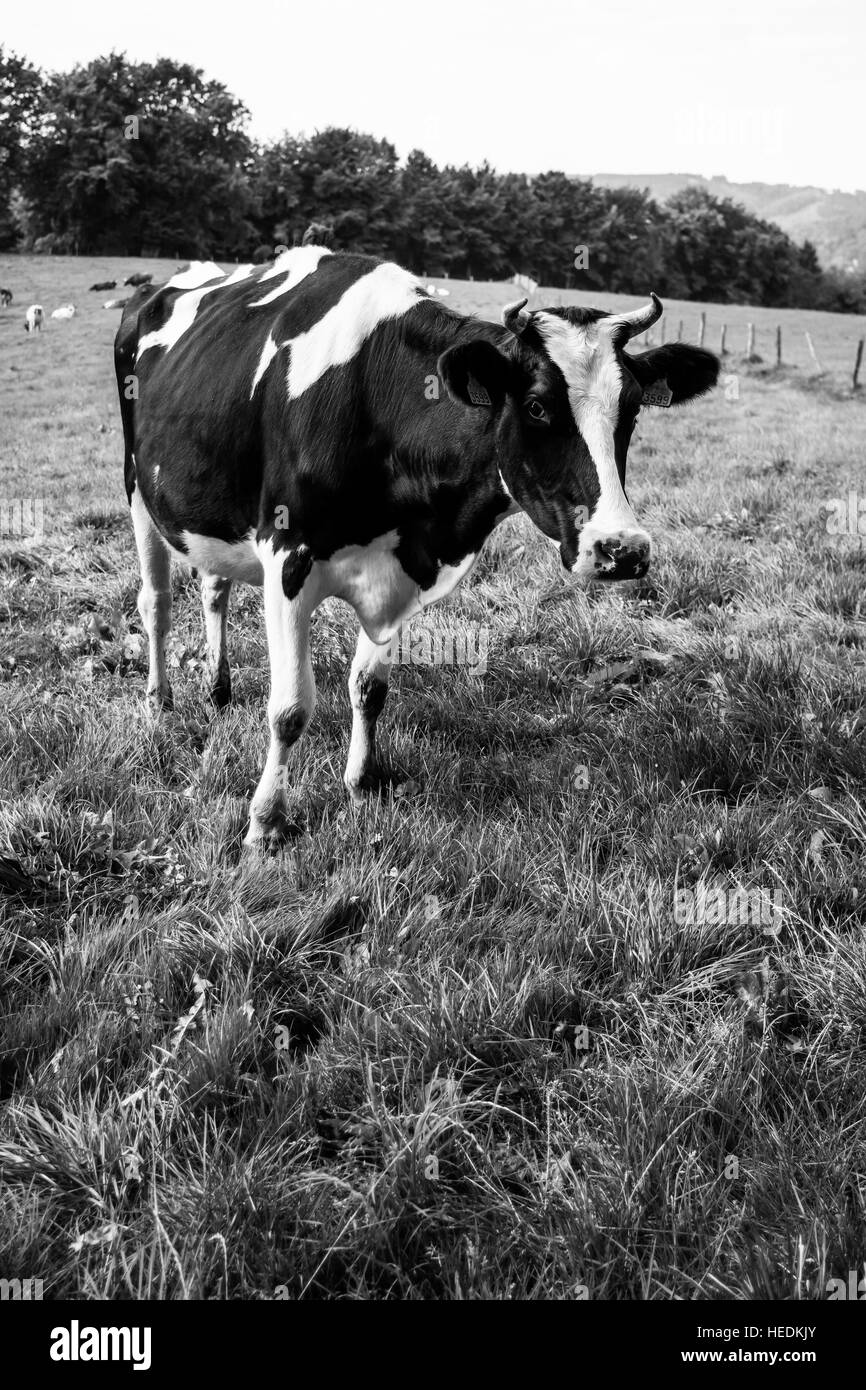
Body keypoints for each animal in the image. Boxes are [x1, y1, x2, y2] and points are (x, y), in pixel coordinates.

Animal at [115, 247, 722, 845]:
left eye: (634, 409)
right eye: (536, 406)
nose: (622, 549)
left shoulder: (403, 571)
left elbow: (369, 688)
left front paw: (361, 784)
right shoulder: (287, 555)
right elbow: (289, 709)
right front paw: (266, 823)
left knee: (213, 586)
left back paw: (217, 691)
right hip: (138, 486)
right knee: (156, 604)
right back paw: (159, 702)